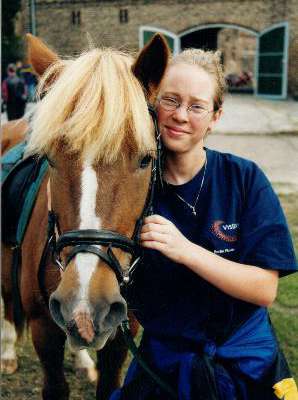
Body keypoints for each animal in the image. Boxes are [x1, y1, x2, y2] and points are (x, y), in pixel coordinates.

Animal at [1, 32, 170, 398]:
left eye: (145, 159)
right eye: (50, 158)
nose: (86, 303)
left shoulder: (123, 331)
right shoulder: (43, 329)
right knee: (6, 297)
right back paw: (7, 353)